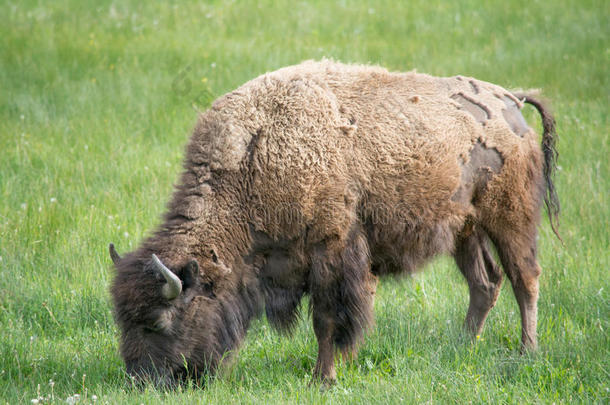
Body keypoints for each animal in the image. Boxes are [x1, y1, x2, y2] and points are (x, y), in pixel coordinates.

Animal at [108, 59, 556, 386]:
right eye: (120, 319)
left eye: (158, 322)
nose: (140, 383)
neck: (252, 161)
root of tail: (511, 101)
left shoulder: (332, 255)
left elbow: (328, 320)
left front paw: (323, 378)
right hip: (465, 229)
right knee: (485, 283)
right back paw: (462, 345)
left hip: (509, 218)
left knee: (524, 279)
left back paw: (527, 351)